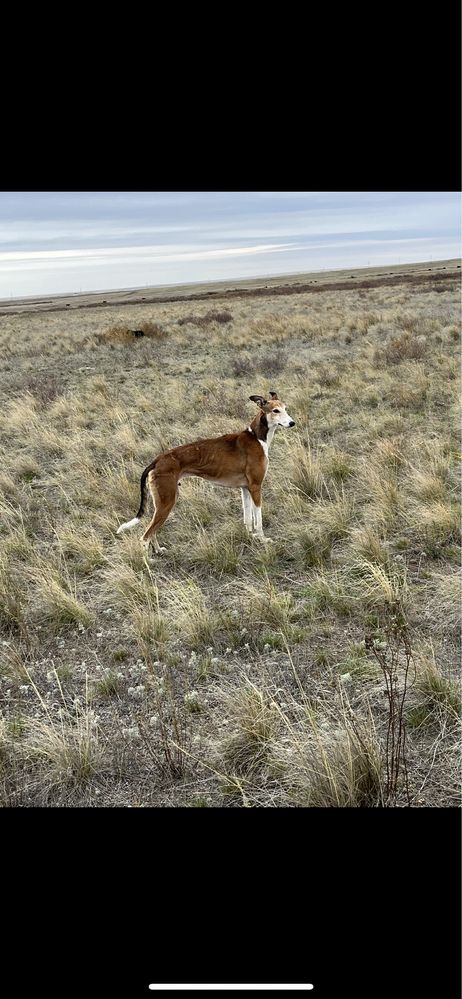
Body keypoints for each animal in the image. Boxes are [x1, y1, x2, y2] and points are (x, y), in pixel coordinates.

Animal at [117, 390, 294, 552]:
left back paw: (159, 550)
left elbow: (248, 519)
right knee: (145, 537)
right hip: (167, 501)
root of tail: (157, 460)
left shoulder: (245, 488)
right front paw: (263, 540)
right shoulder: (256, 487)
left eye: (285, 408)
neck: (257, 437)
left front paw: (250, 536)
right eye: (275, 411)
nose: (292, 423)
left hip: (161, 504)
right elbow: (259, 520)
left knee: (151, 532)